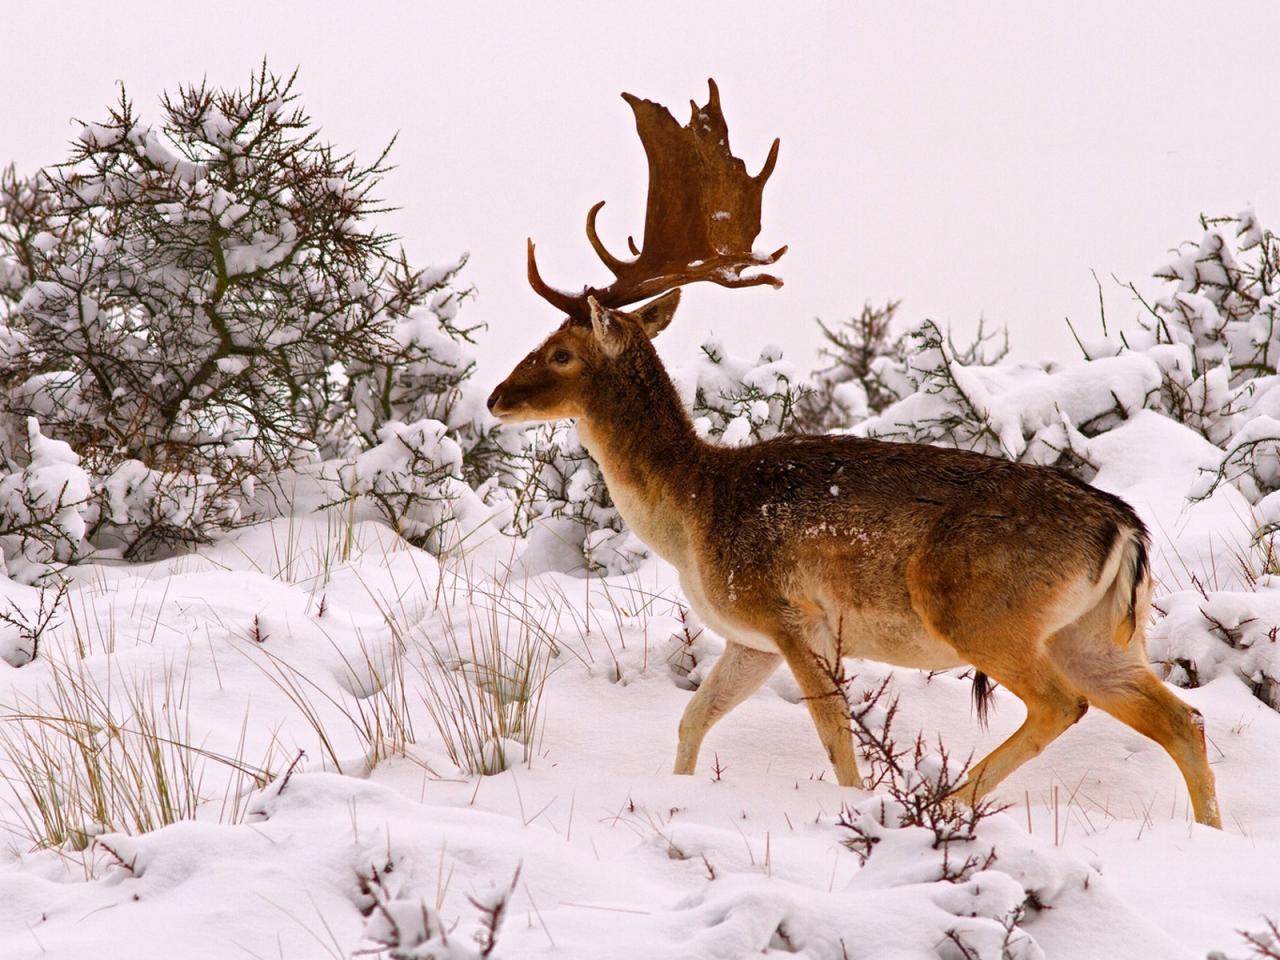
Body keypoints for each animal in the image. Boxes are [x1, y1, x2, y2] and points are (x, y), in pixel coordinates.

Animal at [483, 79, 1223, 829]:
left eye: (561, 352)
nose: (496, 397)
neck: (692, 512)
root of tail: (1124, 529)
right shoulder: (747, 638)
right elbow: (693, 718)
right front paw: (679, 794)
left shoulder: (788, 614)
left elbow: (834, 733)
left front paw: (852, 803)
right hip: (1098, 636)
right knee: (1182, 719)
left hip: (985, 612)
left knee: (1062, 704)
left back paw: (946, 802)